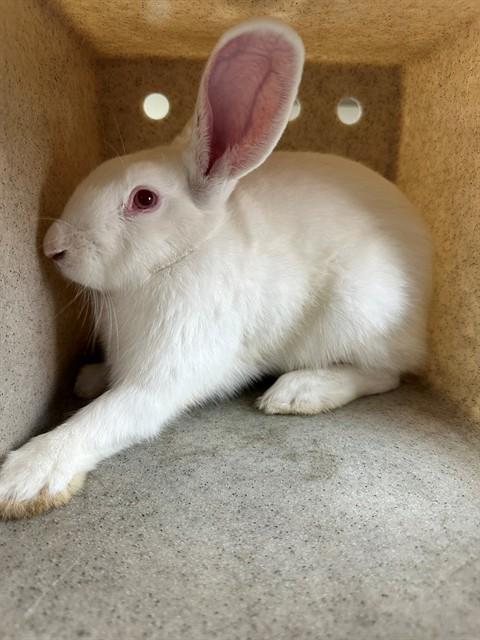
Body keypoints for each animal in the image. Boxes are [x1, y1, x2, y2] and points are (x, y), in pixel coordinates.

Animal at [0, 18, 431, 519]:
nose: (53, 247)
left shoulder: (167, 371)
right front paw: (89, 378)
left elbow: (104, 418)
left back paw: (298, 392)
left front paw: (25, 478)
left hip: (357, 313)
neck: (176, 259)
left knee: (384, 374)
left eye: (144, 199)